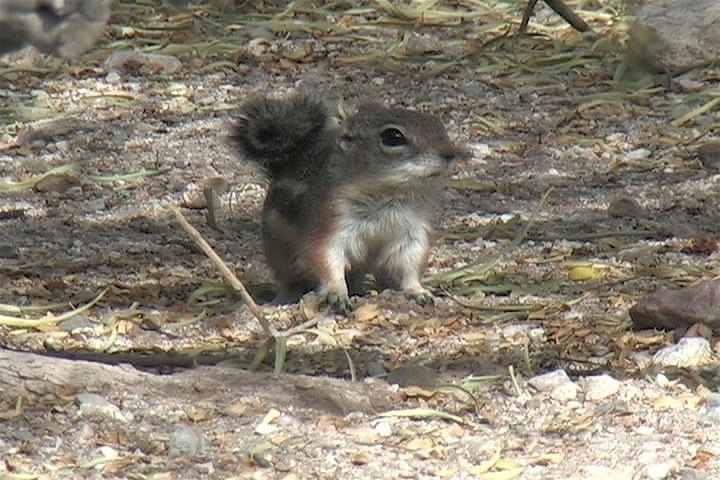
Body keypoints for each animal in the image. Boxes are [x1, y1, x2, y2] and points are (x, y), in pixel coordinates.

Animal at [232, 93, 456, 314]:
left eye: (438, 124)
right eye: (393, 137)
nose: (450, 153)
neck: (388, 196)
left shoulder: (411, 233)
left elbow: (410, 265)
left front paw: (418, 291)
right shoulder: (331, 224)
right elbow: (327, 259)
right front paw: (337, 294)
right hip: (280, 255)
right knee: (290, 282)